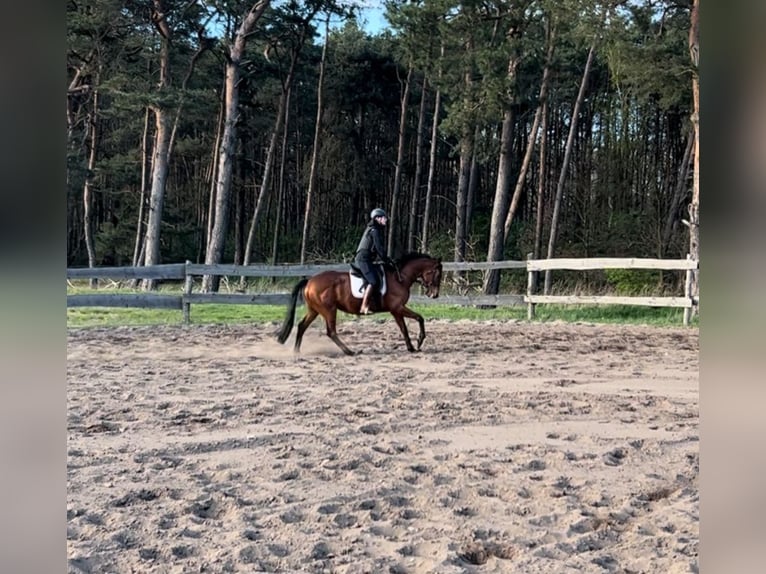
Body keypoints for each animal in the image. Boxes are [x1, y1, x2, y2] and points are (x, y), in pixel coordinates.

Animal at [276, 255, 444, 358]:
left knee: (302, 326)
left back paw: (296, 351)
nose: (434, 295)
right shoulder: (397, 308)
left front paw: (413, 346)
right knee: (331, 332)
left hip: (315, 310)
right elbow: (415, 321)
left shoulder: (397, 310)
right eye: (437, 274)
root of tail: (310, 280)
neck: (400, 277)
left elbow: (408, 325)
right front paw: (418, 342)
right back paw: (349, 351)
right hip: (329, 310)